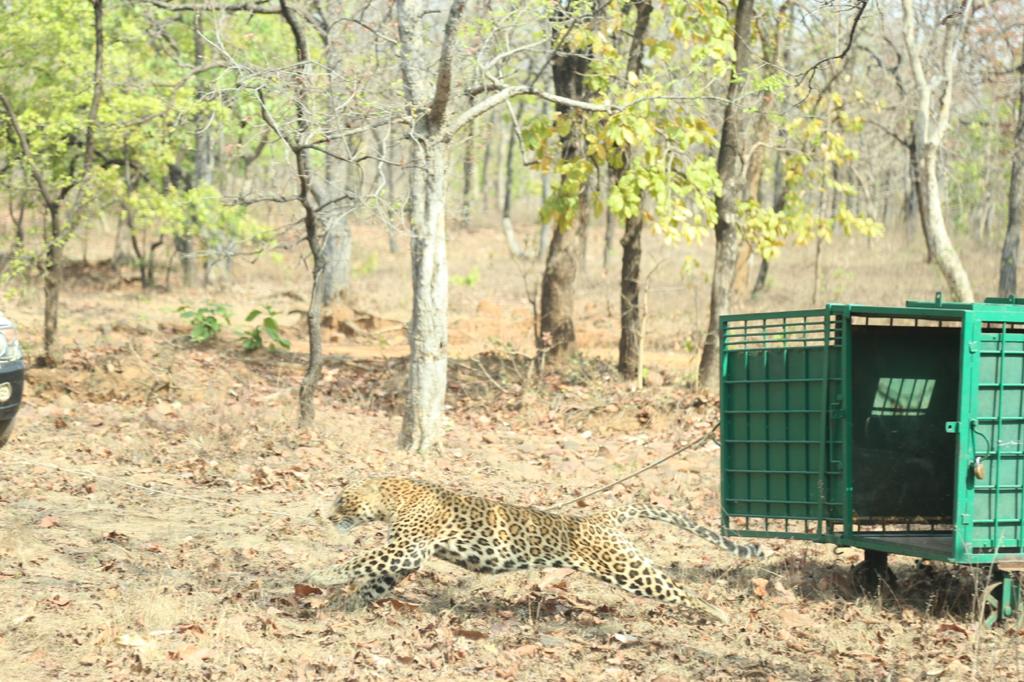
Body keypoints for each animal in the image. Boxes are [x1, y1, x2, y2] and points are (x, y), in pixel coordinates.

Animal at [307, 478, 769, 624]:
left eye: (343, 500)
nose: (326, 516)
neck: (393, 496)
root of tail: (600, 517)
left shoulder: (406, 546)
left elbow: (361, 560)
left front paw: (318, 576)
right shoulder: (409, 554)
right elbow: (375, 579)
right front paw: (346, 606)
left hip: (625, 568)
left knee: (678, 590)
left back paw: (718, 614)